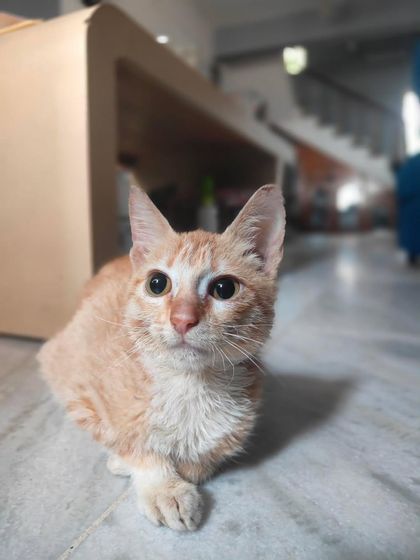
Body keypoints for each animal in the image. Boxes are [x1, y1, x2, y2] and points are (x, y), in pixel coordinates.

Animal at [38, 184, 286, 531]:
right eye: (158, 284)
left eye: (224, 288)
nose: (182, 319)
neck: (189, 387)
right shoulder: (73, 379)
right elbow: (130, 442)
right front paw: (160, 485)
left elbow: (203, 459)